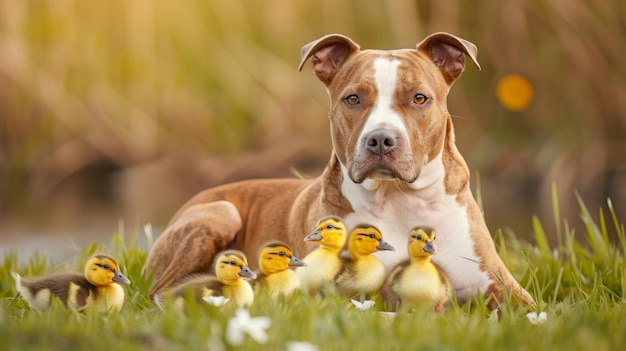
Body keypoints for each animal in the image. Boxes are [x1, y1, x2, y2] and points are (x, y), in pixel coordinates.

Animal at [145, 31, 532, 310]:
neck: (400, 199)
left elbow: (533, 311)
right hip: (221, 212)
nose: (380, 140)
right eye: (353, 98)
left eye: (419, 98)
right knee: (159, 292)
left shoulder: (502, 285)